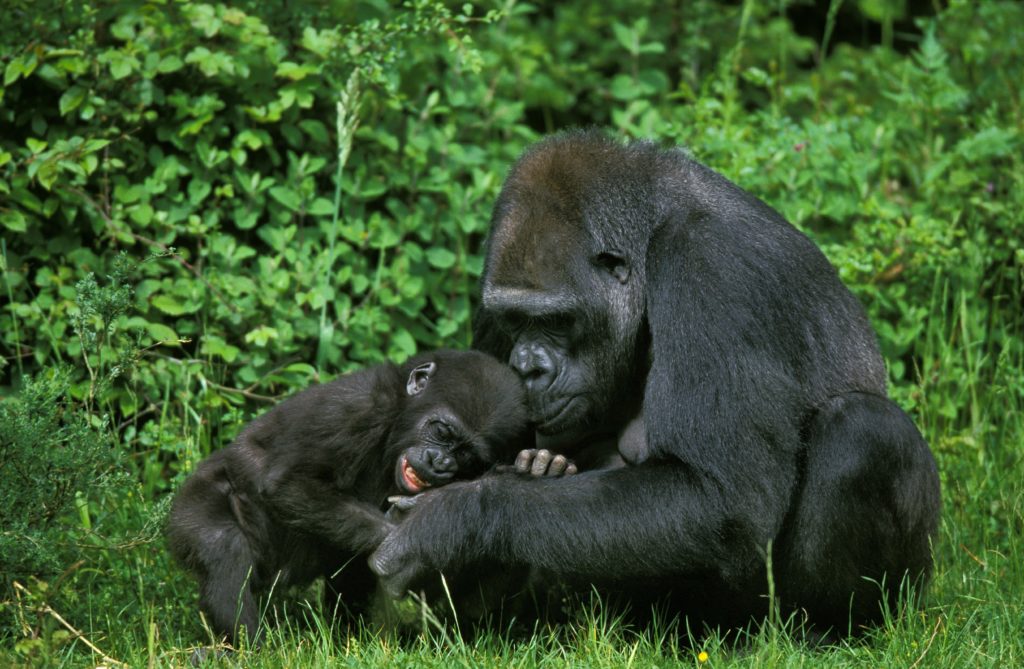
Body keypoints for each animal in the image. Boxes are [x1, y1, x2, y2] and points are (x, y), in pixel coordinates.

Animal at [165, 346, 536, 643]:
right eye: (443, 432)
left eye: (466, 455)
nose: (440, 463)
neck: (399, 414)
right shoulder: (356, 407)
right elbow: (289, 483)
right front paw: (408, 537)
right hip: (193, 503)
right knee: (222, 545)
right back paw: (245, 646)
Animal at [372, 129, 937, 631]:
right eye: (514, 320)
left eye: (557, 320)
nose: (528, 366)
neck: (653, 234)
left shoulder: (712, 267)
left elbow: (721, 499)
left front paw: (454, 521)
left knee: (862, 429)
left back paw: (829, 627)